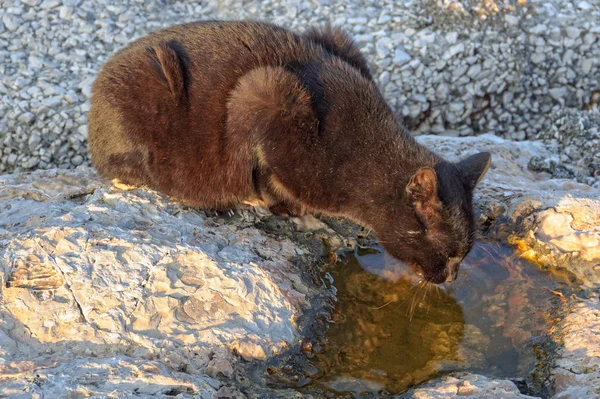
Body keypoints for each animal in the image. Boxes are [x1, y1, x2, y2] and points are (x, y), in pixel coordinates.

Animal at [89, 21, 492, 284]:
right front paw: (284, 207)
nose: (454, 277)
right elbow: (262, 172)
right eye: (449, 253)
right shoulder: (265, 93)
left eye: (463, 255)